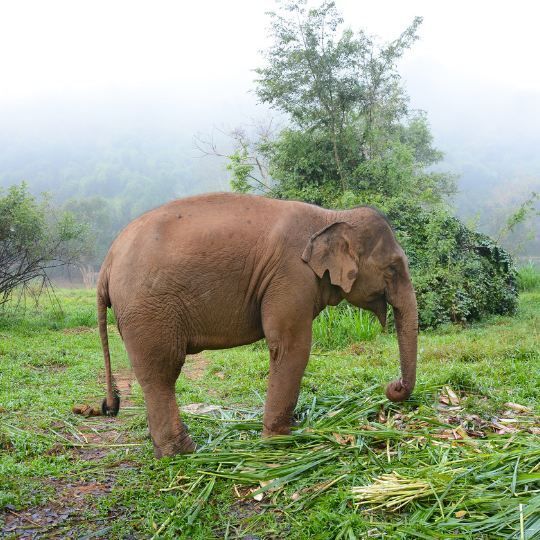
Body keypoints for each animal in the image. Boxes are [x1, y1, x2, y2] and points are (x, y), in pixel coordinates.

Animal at [97, 193, 418, 456]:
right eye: (392, 268)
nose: (392, 387)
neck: (331, 216)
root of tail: (107, 262)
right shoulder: (290, 275)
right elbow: (291, 347)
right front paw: (281, 442)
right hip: (148, 309)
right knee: (162, 372)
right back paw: (183, 452)